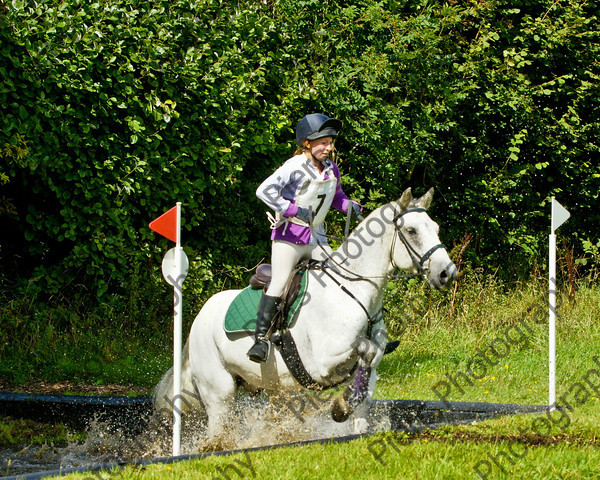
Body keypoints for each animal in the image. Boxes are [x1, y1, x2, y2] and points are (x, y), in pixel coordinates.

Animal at [154, 187, 454, 438]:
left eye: (436, 228)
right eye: (412, 230)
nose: (447, 273)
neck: (354, 290)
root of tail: (198, 320)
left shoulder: (370, 363)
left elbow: (366, 377)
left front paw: (348, 407)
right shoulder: (322, 362)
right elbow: (364, 348)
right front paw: (341, 407)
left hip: (272, 386)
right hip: (220, 392)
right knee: (218, 428)